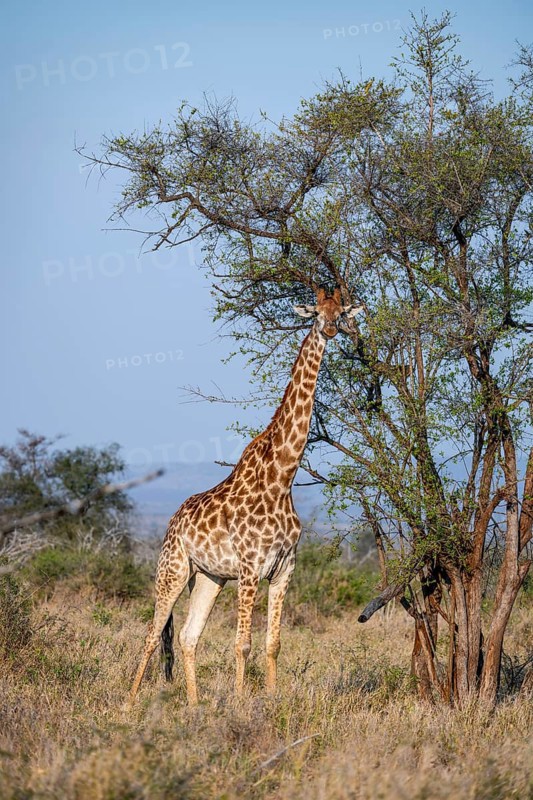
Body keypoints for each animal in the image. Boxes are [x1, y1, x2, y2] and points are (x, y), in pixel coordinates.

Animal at [129, 287, 363, 704]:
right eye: (316, 312)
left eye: (342, 312)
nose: (331, 330)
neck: (282, 478)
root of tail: (173, 520)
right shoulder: (251, 567)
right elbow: (243, 644)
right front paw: (240, 702)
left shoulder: (284, 570)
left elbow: (273, 644)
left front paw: (270, 698)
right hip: (173, 569)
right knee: (153, 634)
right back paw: (127, 704)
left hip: (209, 577)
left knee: (187, 637)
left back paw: (194, 705)